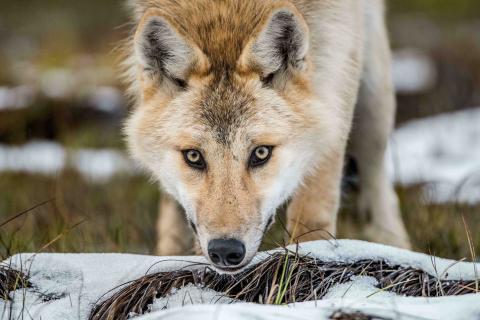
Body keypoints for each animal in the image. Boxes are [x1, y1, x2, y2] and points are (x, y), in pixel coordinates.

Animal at [123, 0, 408, 272]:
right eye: (193, 156)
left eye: (261, 153)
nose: (225, 251)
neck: (226, 11)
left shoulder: (337, 73)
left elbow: (313, 212)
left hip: (373, 96)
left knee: (376, 174)